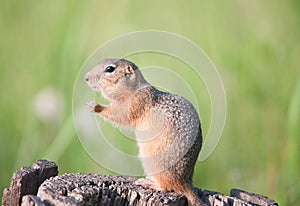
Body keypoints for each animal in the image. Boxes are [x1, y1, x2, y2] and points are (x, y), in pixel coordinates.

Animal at [85, 58, 205, 205]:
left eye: (110, 69)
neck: (132, 90)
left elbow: (119, 116)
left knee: (167, 187)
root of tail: (186, 182)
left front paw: (94, 106)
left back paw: (147, 183)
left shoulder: (132, 105)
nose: (86, 78)